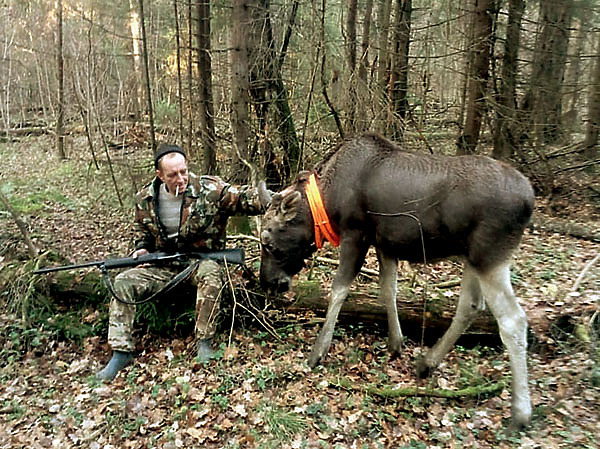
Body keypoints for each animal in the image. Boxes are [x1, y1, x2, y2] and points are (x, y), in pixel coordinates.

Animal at [258, 133, 536, 428]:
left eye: (267, 241)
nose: (267, 282)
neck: (327, 202)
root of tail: (530, 201)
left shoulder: (356, 234)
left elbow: (339, 290)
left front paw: (317, 352)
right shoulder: (385, 244)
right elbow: (388, 290)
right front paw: (396, 343)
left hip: (490, 255)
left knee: (513, 320)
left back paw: (520, 411)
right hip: (471, 256)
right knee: (471, 305)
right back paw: (427, 362)